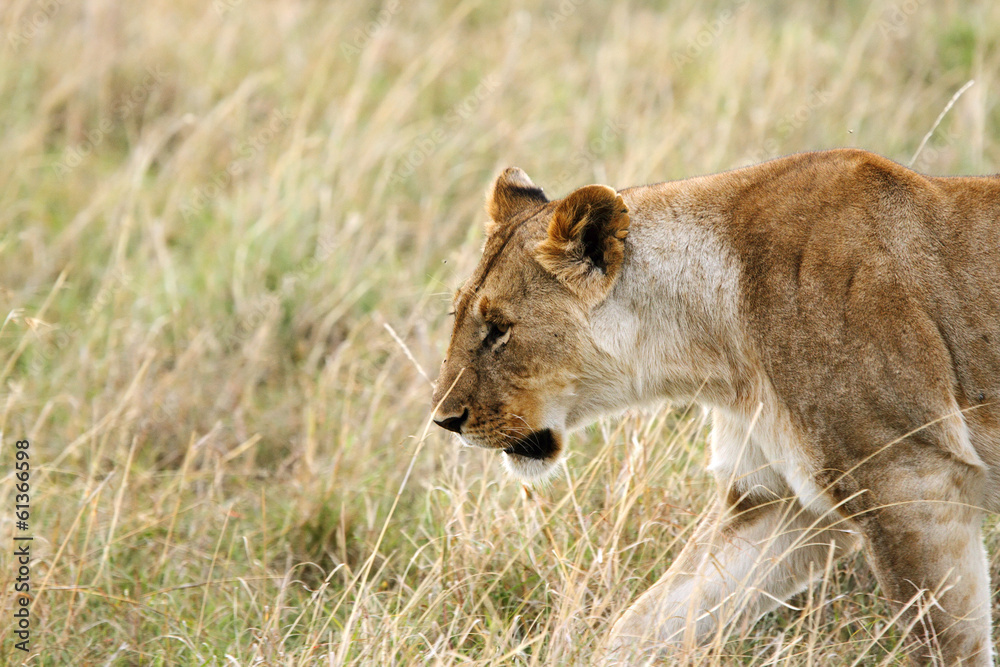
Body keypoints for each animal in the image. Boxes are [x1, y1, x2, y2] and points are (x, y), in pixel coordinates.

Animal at [431, 149, 1000, 665]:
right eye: (459, 316)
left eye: (499, 329)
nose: (444, 420)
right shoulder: (773, 501)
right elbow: (648, 621)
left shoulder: (911, 481)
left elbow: (949, 647)